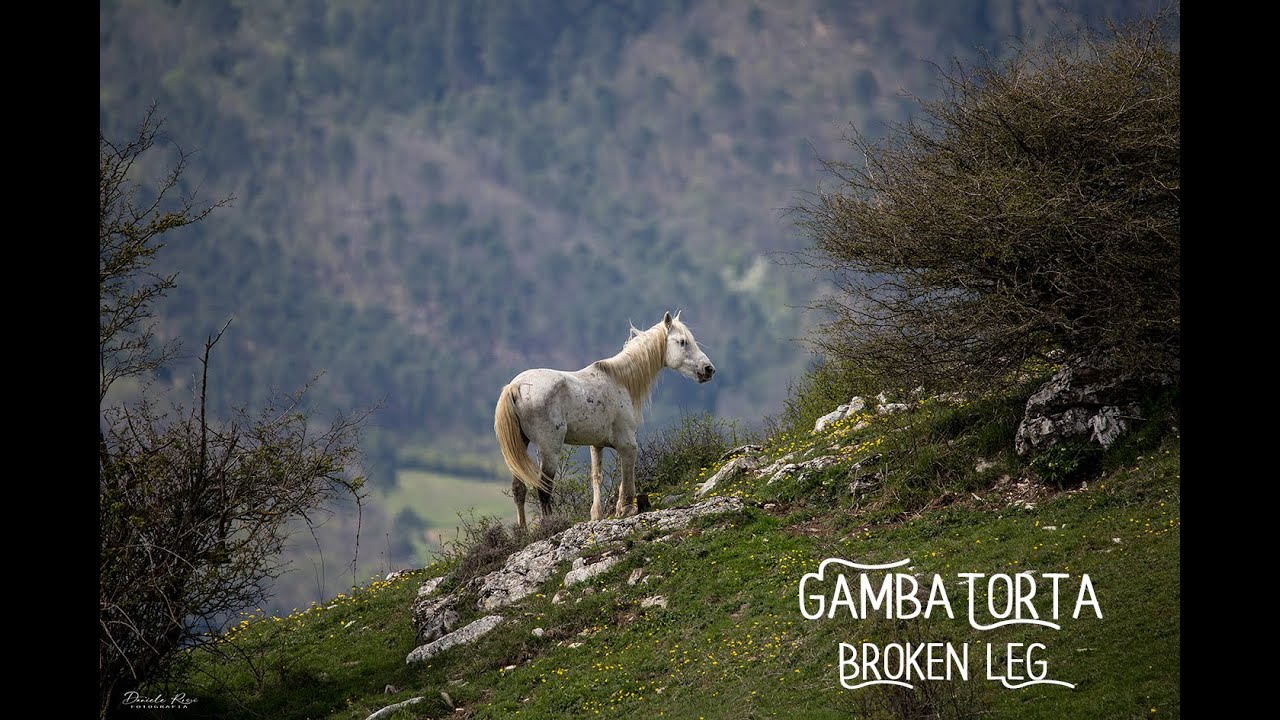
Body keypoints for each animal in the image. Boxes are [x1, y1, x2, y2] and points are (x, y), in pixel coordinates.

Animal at [494, 311, 715, 528]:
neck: (621, 381)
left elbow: (597, 477)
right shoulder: (628, 444)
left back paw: (523, 532)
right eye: (683, 342)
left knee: (519, 489)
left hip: (520, 446)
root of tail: (515, 387)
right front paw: (626, 508)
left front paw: (597, 514)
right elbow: (627, 475)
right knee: (544, 488)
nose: (708, 369)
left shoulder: (596, 445)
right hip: (549, 449)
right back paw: (550, 526)